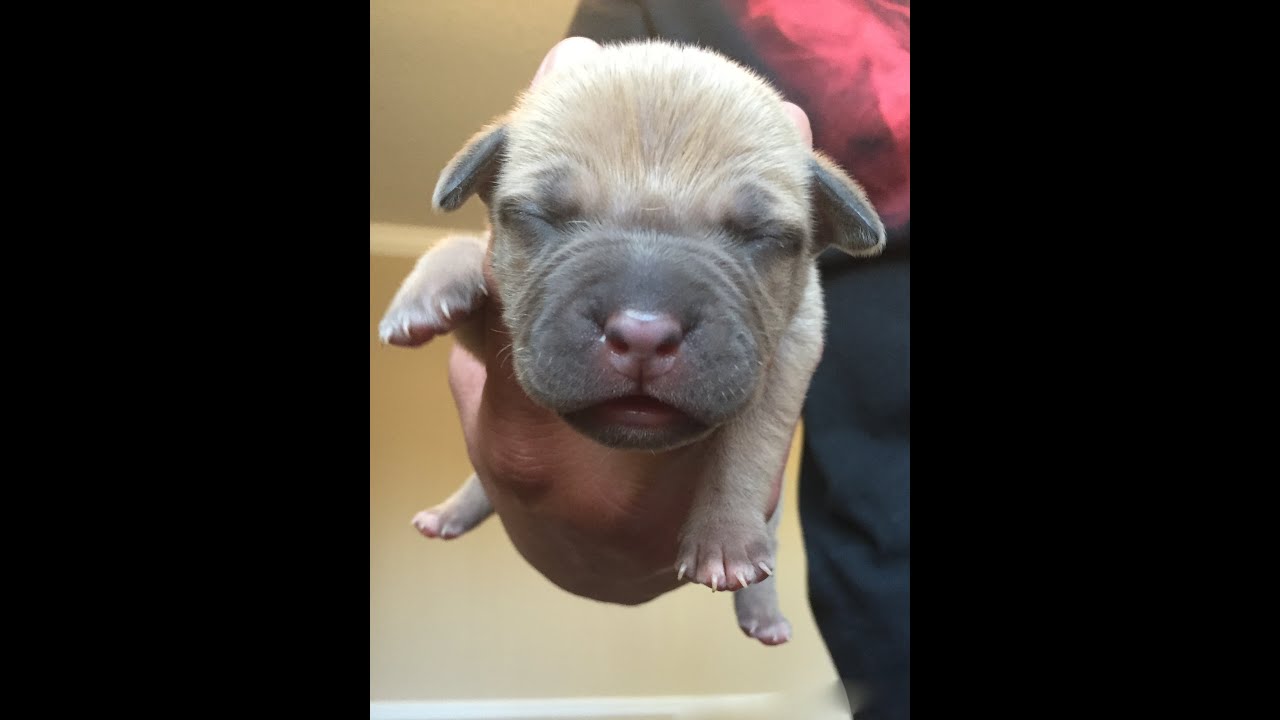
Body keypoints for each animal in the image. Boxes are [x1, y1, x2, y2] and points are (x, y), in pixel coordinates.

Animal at [373, 40, 885, 645]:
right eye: (540, 217)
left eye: (760, 236)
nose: (643, 333)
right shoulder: (505, 332)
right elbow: (461, 245)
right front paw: (423, 294)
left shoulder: (790, 355)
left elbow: (748, 444)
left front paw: (727, 538)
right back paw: (450, 512)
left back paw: (763, 613)